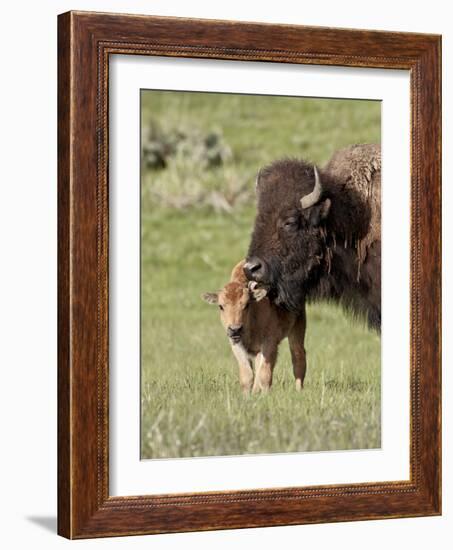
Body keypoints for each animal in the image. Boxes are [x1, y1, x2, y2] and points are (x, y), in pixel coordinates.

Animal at [202, 260, 306, 394]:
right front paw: (247, 395)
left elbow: (265, 374)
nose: (235, 329)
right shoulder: (236, 345)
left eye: (247, 305)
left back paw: (299, 391)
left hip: (298, 326)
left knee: (298, 357)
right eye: (221, 306)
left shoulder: (269, 343)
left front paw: (265, 395)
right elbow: (247, 375)